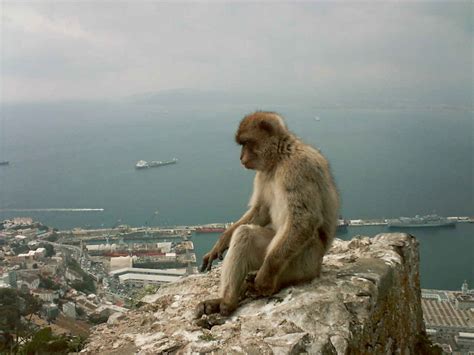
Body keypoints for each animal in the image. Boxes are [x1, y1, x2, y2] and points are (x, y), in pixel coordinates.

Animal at [196, 111, 340, 318]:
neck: (279, 160)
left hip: (302, 265)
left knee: (255, 236)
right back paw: (226, 301)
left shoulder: (297, 168)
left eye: (246, 143)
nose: (241, 157)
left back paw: (264, 285)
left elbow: (304, 219)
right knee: (245, 234)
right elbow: (261, 210)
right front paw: (221, 242)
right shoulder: (262, 173)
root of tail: (317, 268)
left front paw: (263, 280)